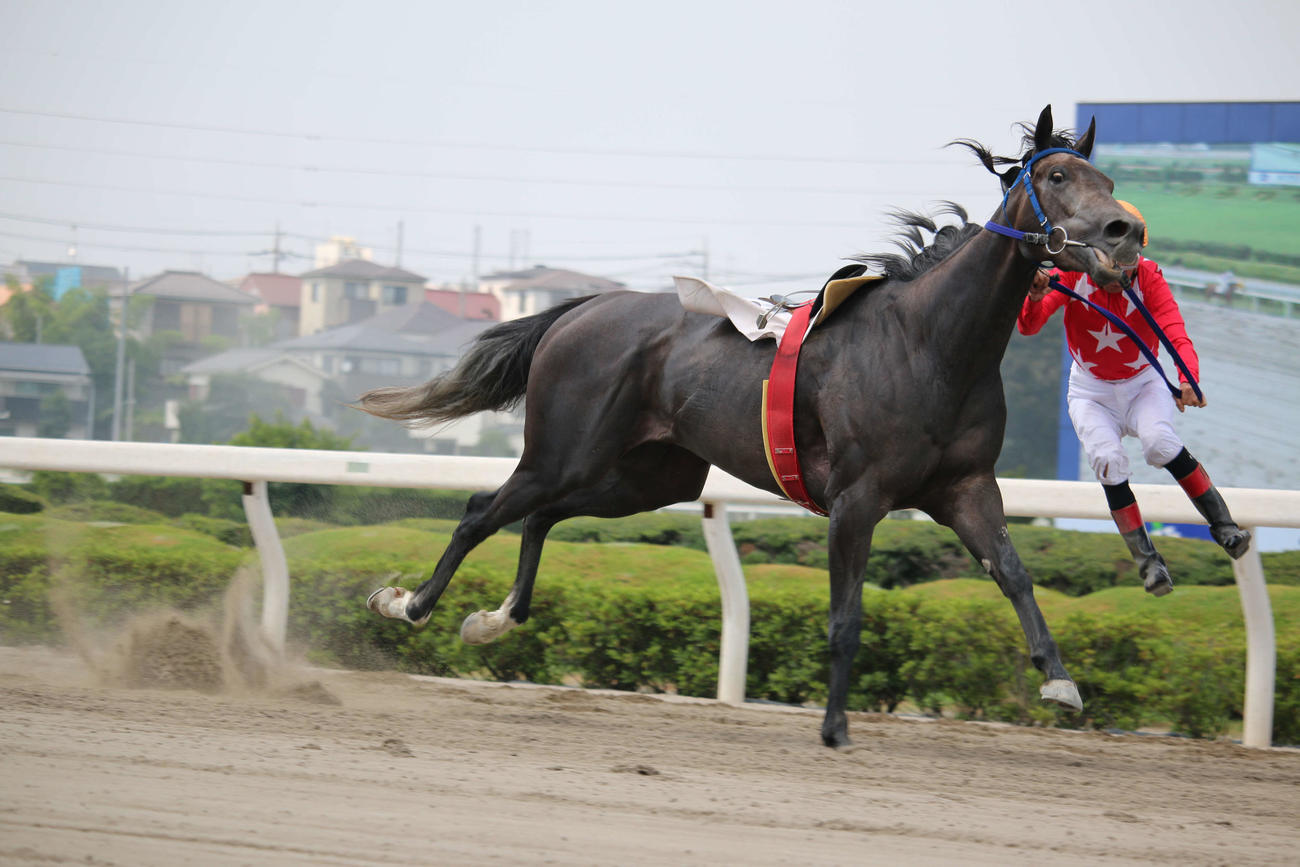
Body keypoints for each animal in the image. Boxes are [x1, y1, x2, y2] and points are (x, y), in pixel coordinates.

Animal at [357, 105, 1145, 748]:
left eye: (1107, 178)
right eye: (1057, 175)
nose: (1126, 231)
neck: (932, 344)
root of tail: (582, 309)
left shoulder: (966, 487)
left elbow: (1013, 572)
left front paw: (1060, 679)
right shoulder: (857, 498)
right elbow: (846, 616)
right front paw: (834, 727)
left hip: (652, 476)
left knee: (540, 516)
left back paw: (492, 618)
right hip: (564, 451)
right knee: (479, 510)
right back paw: (408, 605)